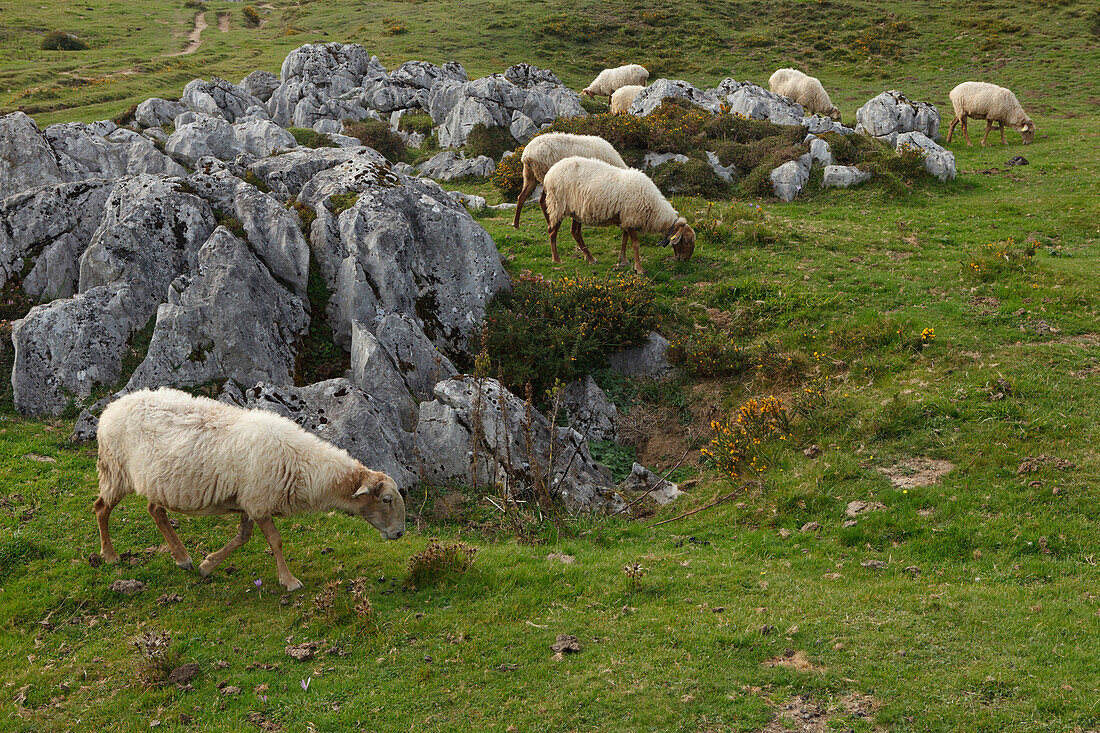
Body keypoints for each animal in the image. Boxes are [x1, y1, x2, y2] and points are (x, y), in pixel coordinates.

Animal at [93, 387, 404, 589]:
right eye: (387, 499)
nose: (400, 534)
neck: (303, 465)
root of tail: (112, 407)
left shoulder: (249, 501)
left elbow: (242, 537)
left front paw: (208, 565)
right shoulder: (259, 501)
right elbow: (276, 541)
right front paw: (289, 581)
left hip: (156, 481)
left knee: (154, 509)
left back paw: (183, 558)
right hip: (115, 470)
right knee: (101, 508)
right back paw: (110, 556)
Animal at [541, 157, 695, 274]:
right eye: (686, 241)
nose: (686, 260)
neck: (653, 207)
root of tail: (551, 171)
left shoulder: (625, 218)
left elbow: (624, 239)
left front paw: (623, 259)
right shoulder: (631, 217)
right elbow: (635, 244)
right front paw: (639, 269)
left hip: (577, 211)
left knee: (576, 232)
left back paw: (590, 259)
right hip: (558, 205)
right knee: (552, 231)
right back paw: (556, 259)